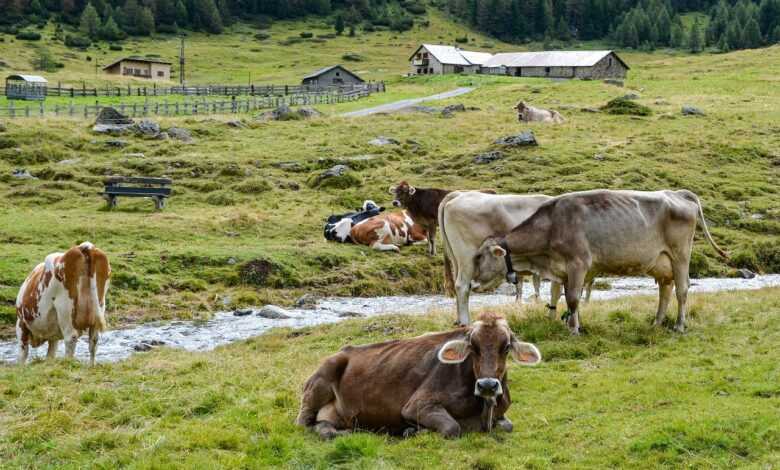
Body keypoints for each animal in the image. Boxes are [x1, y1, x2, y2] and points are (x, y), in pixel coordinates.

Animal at [296, 312, 540, 440]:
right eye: (473, 347)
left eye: (506, 347)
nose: (488, 385)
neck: (483, 410)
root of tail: (342, 350)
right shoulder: (417, 405)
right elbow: (453, 428)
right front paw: (413, 430)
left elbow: (508, 426)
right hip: (321, 379)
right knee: (304, 423)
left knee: (324, 426)